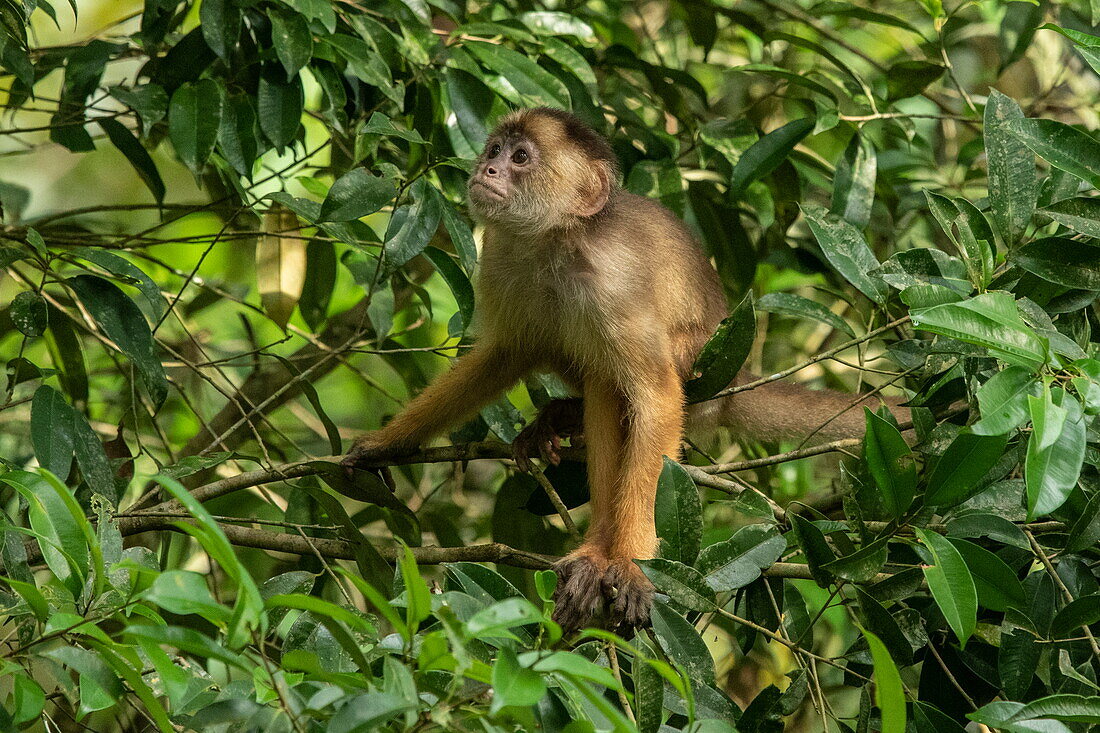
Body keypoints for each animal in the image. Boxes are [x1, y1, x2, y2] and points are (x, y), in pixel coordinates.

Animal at [345, 105, 910, 629]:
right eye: (495, 148)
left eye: (520, 158)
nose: (486, 169)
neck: (556, 241)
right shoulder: (502, 255)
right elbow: (505, 356)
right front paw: (386, 444)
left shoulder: (610, 283)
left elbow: (656, 398)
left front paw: (635, 564)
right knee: (591, 376)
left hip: (702, 371)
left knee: (622, 382)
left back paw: (606, 548)